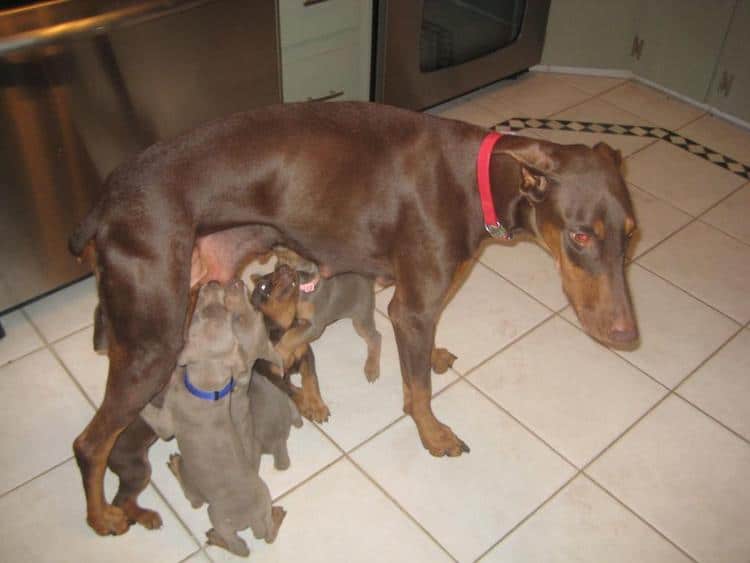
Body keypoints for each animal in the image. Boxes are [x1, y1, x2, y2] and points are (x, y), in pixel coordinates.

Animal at [141, 280, 284, 556]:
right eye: (255, 310)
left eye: (236, 318)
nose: (230, 282)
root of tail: (254, 521)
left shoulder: (167, 421)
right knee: (269, 536)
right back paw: (277, 515)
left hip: (213, 510)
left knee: (237, 545)